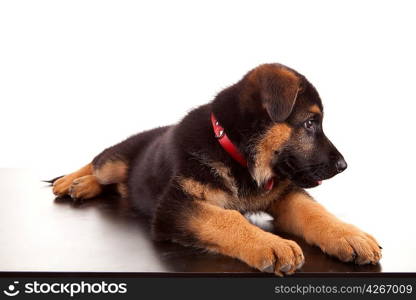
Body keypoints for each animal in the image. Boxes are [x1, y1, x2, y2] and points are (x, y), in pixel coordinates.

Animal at [50, 63, 382, 276]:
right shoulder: (176, 206)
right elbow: (227, 218)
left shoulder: (284, 194)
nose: (343, 165)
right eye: (310, 123)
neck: (238, 157)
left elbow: (313, 211)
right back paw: (71, 182)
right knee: (97, 163)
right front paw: (271, 244)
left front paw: (350, 235)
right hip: (115, 160)